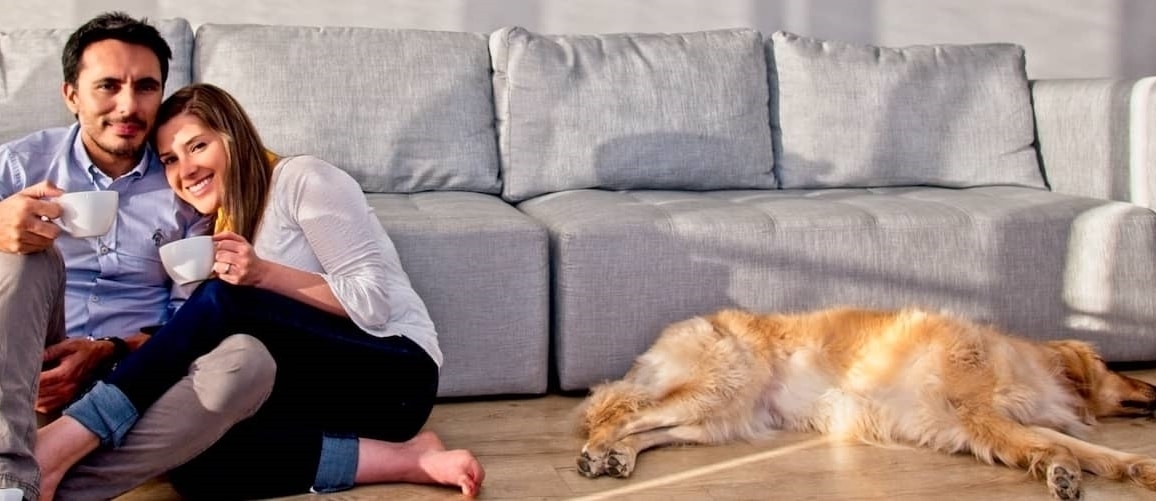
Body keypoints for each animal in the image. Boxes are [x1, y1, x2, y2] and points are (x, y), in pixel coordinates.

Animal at [582, 305, 1156, 497]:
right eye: (1119, 369)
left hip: (720, 418)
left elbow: (1096, 452)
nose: (1155, 388)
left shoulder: (998, 420)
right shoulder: (981, 416)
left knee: (645, 429)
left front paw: (1136, 467)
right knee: (618, 413)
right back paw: (596, 452)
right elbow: (1051, 445)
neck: (1024, 363)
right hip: (718, 388)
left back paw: (620, 457)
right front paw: (1061, 470)